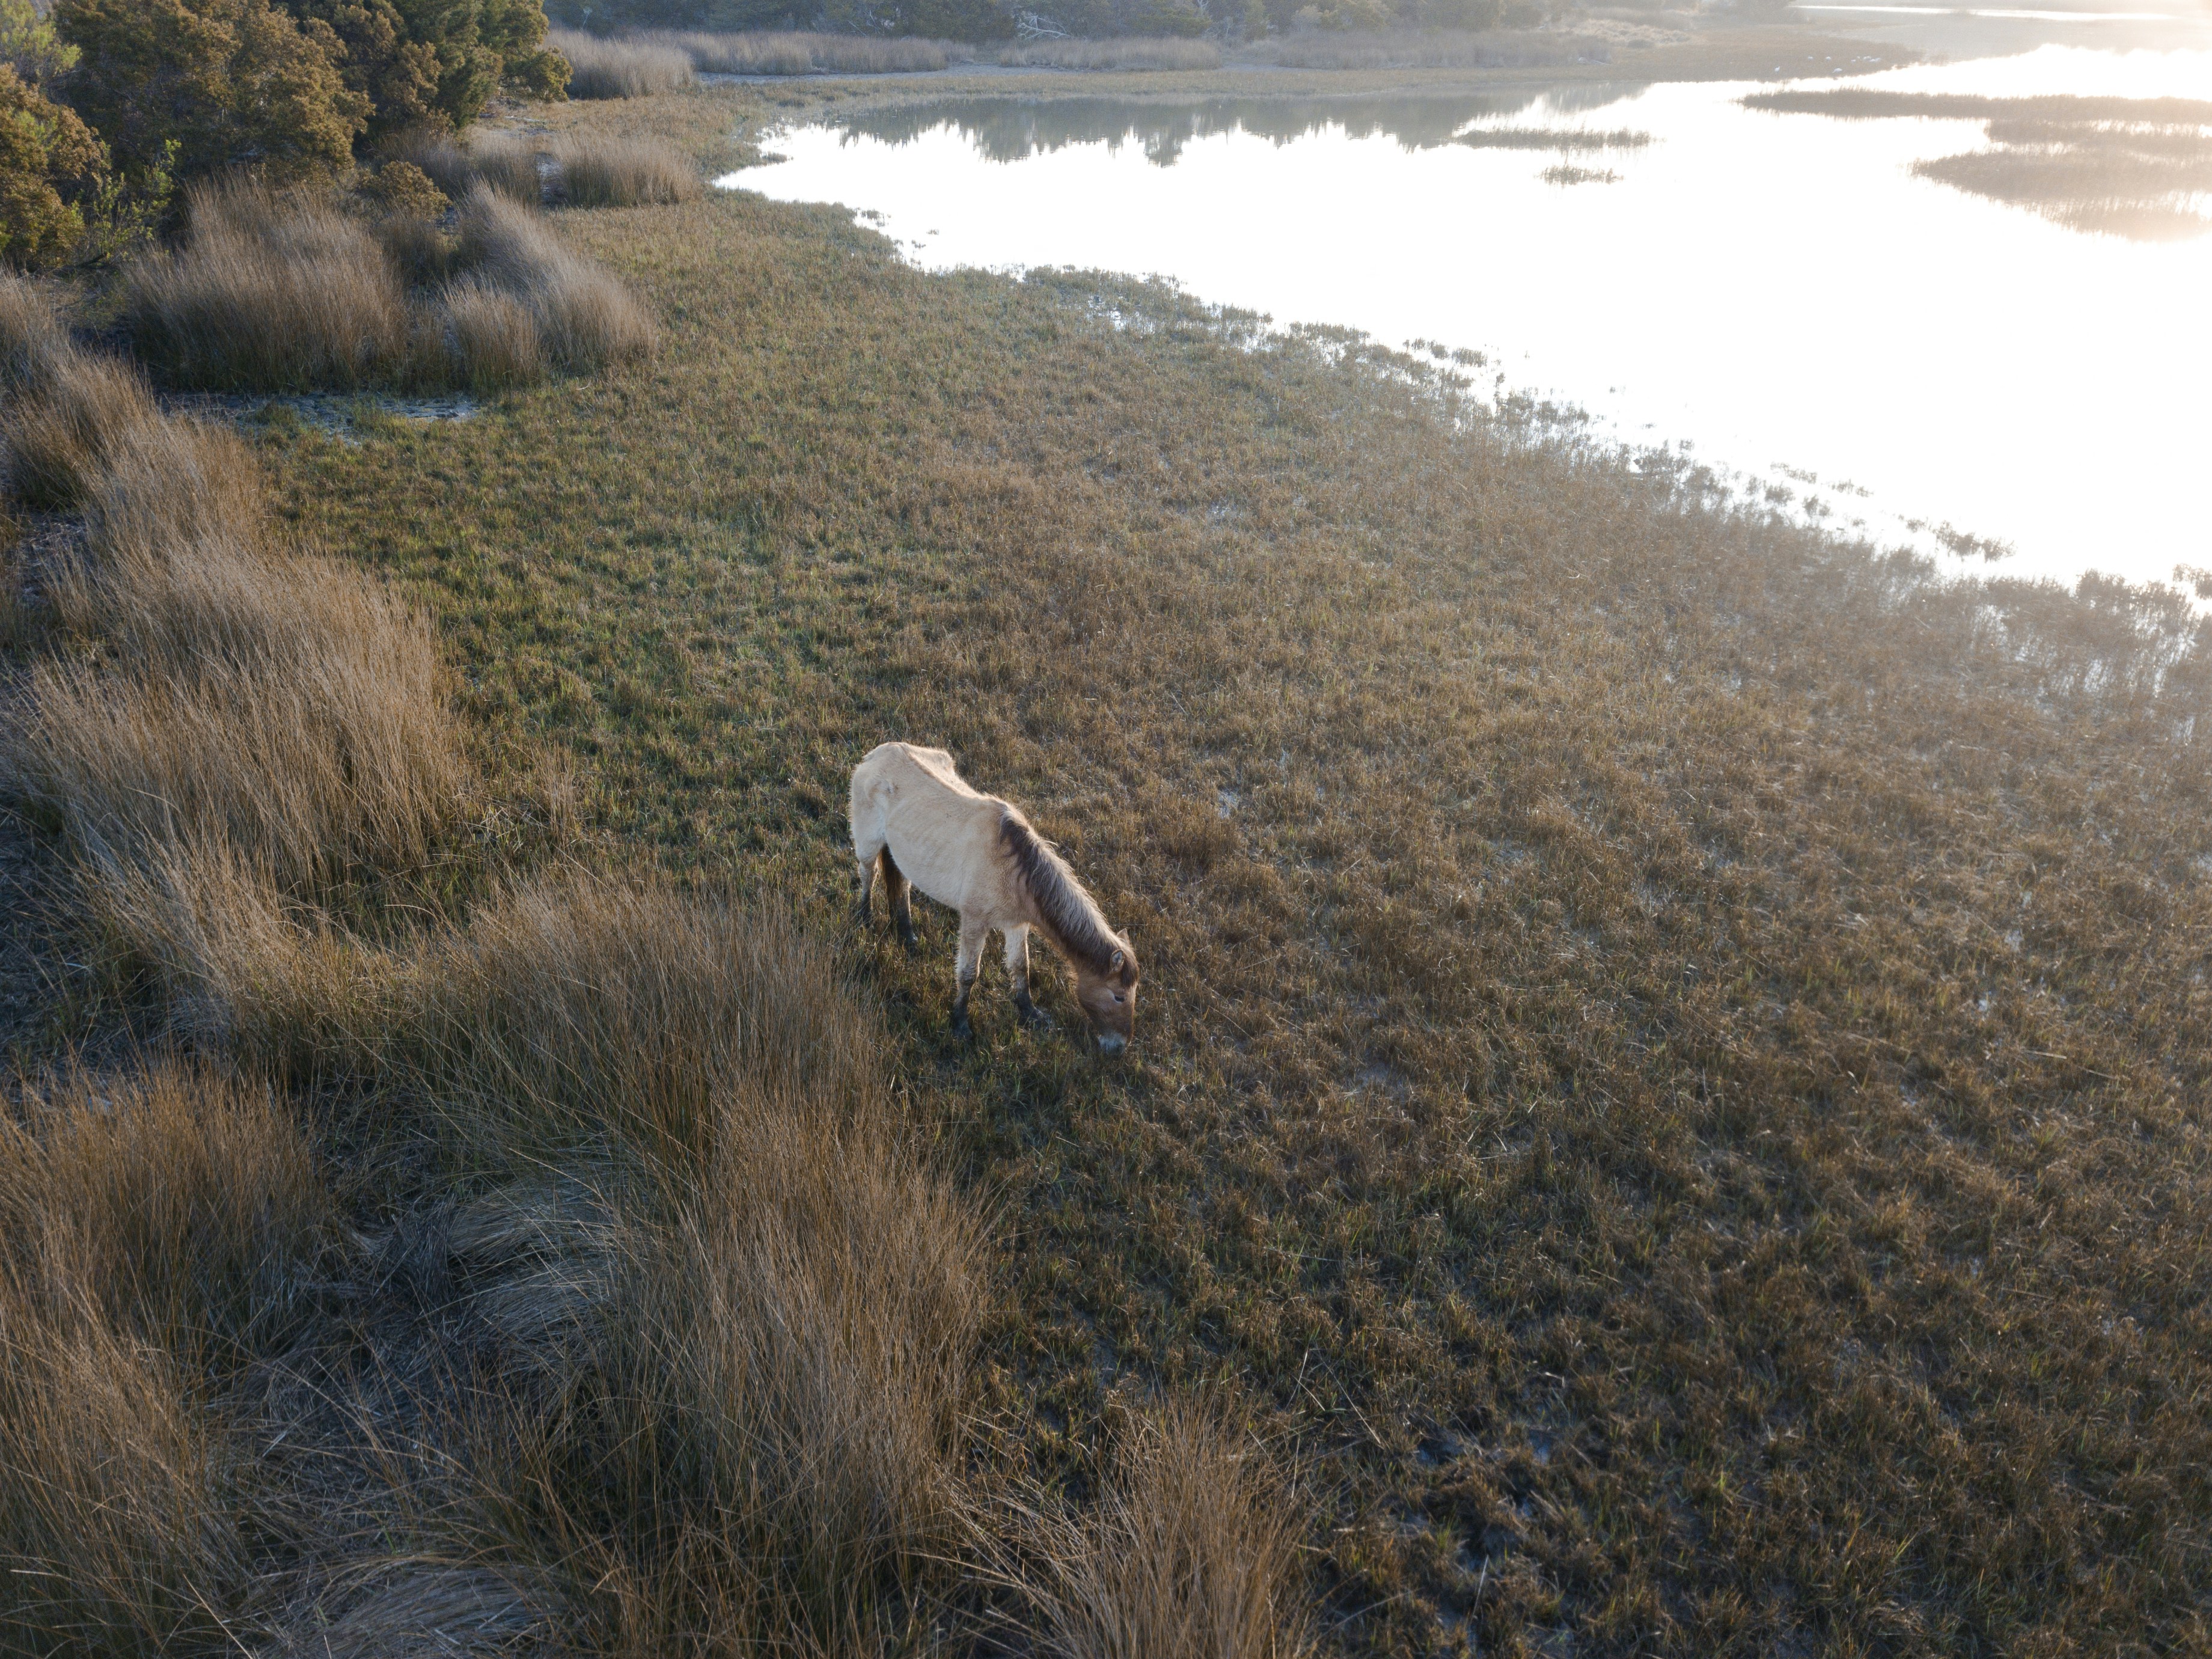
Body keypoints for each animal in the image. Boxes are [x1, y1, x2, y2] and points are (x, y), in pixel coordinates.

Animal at [848, 742, 1139, 1052]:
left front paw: (1030, 1013)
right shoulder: (975, 922)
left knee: (900, 887)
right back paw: (865, 919)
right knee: (868, 874)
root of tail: (878, 754)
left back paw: (907, 936)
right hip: (869, 842)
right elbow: (968, 974)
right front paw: (960, 1024)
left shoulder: (1016, 925)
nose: (1120, 1047)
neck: (1014, 870)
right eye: (1119, 996)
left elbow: (1021, 967)